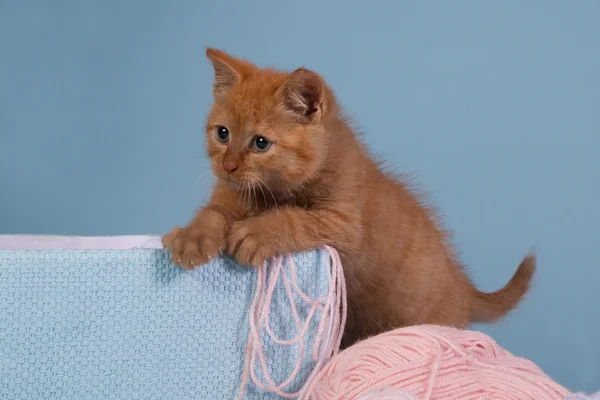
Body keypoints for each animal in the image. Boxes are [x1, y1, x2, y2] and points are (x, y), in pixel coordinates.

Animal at [163, 48, 536, 348]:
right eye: (222, 134)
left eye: (261, 143)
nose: (227, 166)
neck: (271, 193)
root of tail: (463, 284)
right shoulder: (227, 198)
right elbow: (211, 213)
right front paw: (192, 238)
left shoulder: (345, 225)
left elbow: (294, 217)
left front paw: (255, 233)